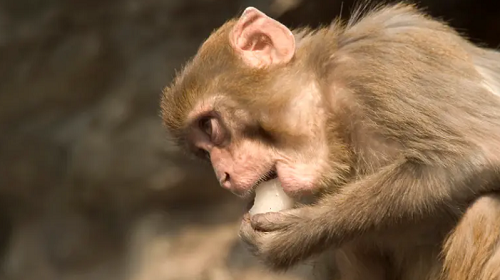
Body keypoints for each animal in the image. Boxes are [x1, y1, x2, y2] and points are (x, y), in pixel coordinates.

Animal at [159, 2, 500, 280]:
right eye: (203, 153)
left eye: (209, 126)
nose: (224, 177)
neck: (333, 112)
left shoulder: (384, 58)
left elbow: (479, 150)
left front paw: (296, 232)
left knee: (485, 211)